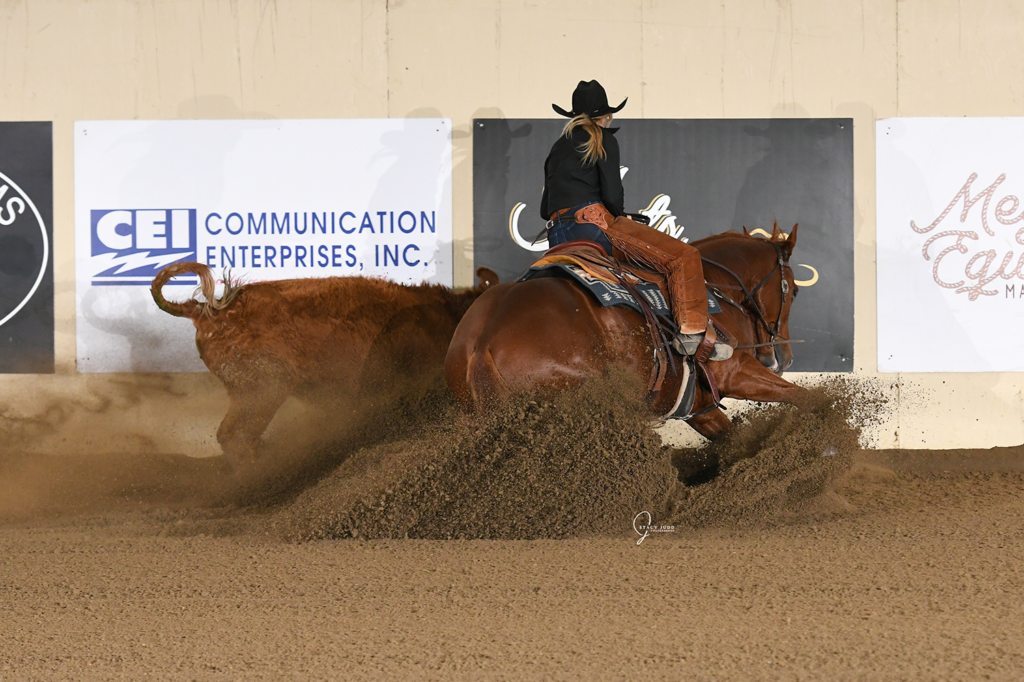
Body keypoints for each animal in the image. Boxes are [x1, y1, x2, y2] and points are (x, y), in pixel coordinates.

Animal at [448, 223, 806, 436]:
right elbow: (803, 396)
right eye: (793, 292)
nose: (786, 357)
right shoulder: (738, 371)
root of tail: (482, 344)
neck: (715, 289)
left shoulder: (699, 410)